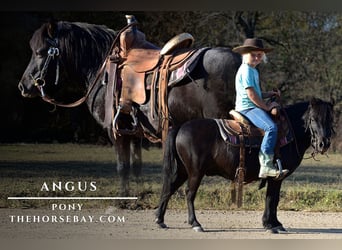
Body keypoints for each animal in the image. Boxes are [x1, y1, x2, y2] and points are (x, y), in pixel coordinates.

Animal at [16, 19, 240, 195]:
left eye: (39, 52)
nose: (23, 86)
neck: (102, 68)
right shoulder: (134, 131)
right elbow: (136, 165)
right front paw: (138, 194)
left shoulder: (115, 130)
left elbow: (122, 166)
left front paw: (123, 199)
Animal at [156, 97, 336, 232]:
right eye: (313, 119)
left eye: (330, 119)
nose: (324, 144)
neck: (289, 132)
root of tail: (180, 127)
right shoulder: (276, 177)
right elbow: (272, 198)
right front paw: (270, 224)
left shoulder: (275, 178)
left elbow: (273, 198)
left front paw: (275, 223)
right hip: (195, 172)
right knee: (189, 193)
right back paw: (195, 223)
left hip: (182, 171)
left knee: (168, 189)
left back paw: (160, 220)